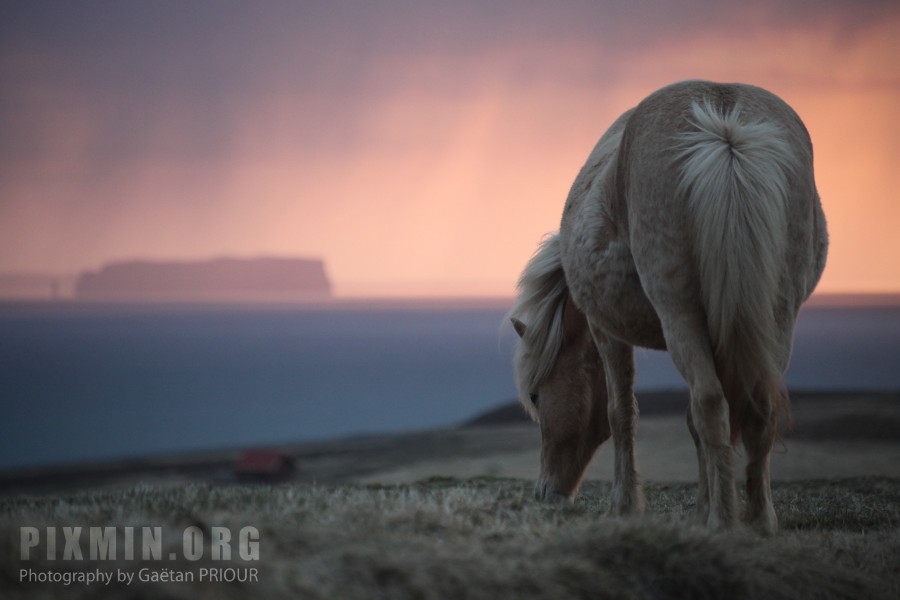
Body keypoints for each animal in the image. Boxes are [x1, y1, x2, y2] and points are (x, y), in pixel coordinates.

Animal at [510, 79, 828, 536]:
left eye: (536, 397)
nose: (546, 493)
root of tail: (724, 125)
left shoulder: (605, 330)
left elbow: (621, 412)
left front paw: (625, 507)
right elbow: (692, 423)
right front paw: (699, 508)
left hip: (681, 315)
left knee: (711, 403)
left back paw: (724, 521)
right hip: (777, 317)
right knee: (755, 406)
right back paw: (760, 521)